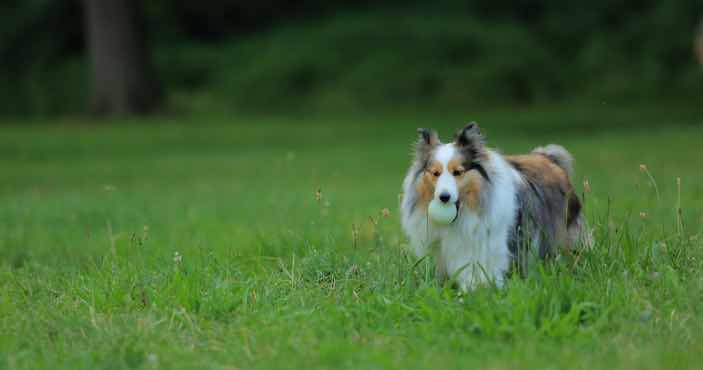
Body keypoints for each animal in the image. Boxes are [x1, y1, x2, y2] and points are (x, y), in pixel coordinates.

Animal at [398, 123, 592, 290]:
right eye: (435, 173)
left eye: (458, 172)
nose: (443, 197)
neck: (467, 211)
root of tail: (548, 156)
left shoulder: (493, 243)